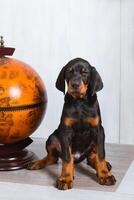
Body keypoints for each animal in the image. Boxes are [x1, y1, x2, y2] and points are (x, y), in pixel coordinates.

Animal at [26, 58, 115, 191]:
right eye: (69, 71)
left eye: (85, 72)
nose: (75, 85)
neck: (80, 102)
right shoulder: (65, 131)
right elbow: (67, 158)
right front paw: (66, 178)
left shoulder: (99, 130)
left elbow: (101, 155)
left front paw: (105, 175)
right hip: (53, 137)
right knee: (54, 158)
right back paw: (37, 163)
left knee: (91, 158)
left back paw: (103, 166)